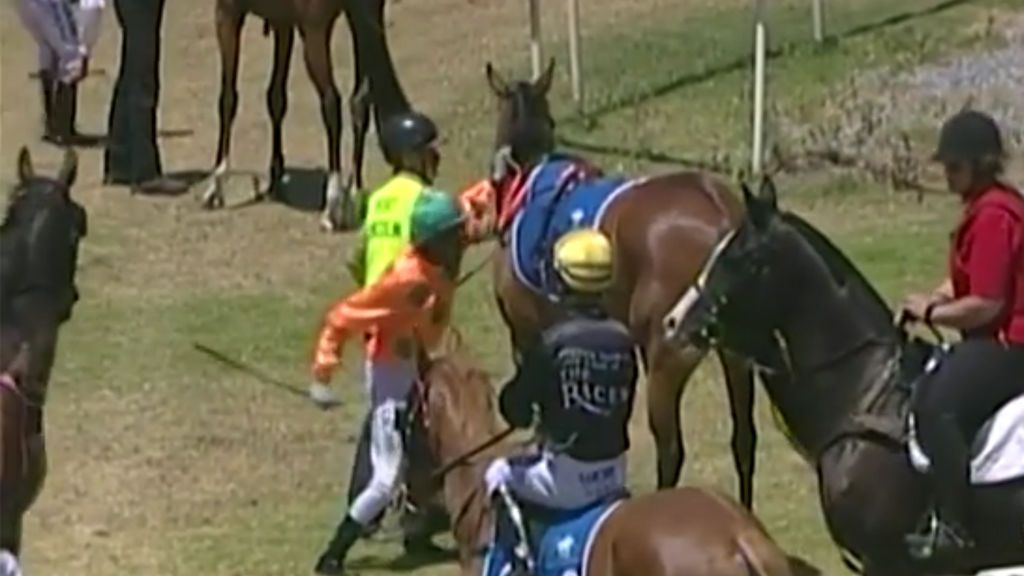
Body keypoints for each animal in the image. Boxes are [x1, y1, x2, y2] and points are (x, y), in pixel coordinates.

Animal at [203, 0, 411, 230]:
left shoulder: (227, 12)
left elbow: (228, 100)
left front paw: (217, 183)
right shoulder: (282, 23)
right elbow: (276, 99)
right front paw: (276, 177)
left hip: (315, 31)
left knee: (332, 104)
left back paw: (332, 204)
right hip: (359, 22)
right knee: (360, 101)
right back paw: (354, 195)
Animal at [479, 60, 790, 504]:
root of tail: (721, 211)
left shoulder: (527, 335)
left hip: (664, 359)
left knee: (671, 449)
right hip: (734, 357)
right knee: (744, 439)